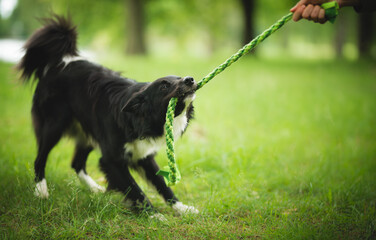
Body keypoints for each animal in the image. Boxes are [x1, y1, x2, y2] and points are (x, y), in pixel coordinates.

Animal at [16, 15, 200, 218]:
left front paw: (181, 207)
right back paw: (41, 191)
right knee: (40, 158)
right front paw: (153, 215)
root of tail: (59, 63)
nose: (190, 79)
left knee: (76, 163)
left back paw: (94, 188)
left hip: (88, 131)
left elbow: (162, 185)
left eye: (179, 77)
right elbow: (136, 189)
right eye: (164, 86)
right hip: (54, 125)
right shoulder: (112, 160)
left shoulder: (143, 156)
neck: (138, 119)